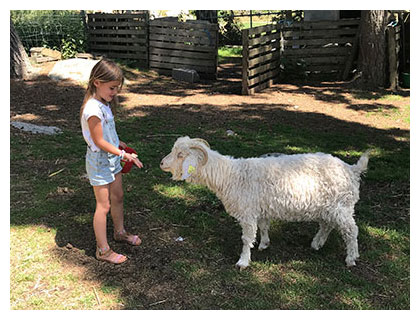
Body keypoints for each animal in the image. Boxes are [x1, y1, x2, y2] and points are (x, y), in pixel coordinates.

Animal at [159, 136, 370, 268]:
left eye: (180, 155)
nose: (161, 163)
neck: (231, 176)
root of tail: (352, 169)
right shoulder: (260, 208)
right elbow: (264, 226)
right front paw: (264, 244)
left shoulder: (247, 213)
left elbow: (246, 239)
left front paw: (243, 261)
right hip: (328, 207)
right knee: (327, 225)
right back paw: (316, 244)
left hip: (342, 206)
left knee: (351, 231)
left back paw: (351, 258)